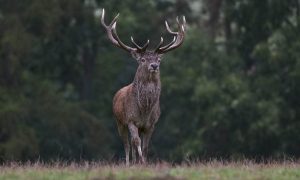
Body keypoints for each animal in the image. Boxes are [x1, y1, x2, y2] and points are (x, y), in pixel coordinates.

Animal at [101, 9, 185, 165]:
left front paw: (144, 162)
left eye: (158, 59)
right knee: (127, 144)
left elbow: (145, 146)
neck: (145, 109)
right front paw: (140, 161)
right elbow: (136, 142)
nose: (154, 66)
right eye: (143, 59)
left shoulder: (150, 124)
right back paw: (129, 163)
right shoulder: (131, 119)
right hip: (119, 122)